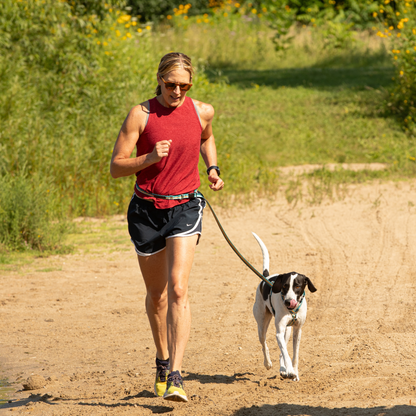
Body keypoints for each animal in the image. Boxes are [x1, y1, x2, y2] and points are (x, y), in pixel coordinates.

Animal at [252, 232, 316, 382]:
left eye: (297, 286)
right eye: (284, 286)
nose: (288, 302)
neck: (292, 311)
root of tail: (266, 277)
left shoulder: (297, 331)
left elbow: (294, 355)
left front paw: (294, 373)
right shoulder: (279, 332)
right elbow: (286, 354)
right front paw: (291, 371)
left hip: (288, 330)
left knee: (282, 351)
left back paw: (283, 370)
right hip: (262, 325)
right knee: (264, 344)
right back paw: (268, 363)